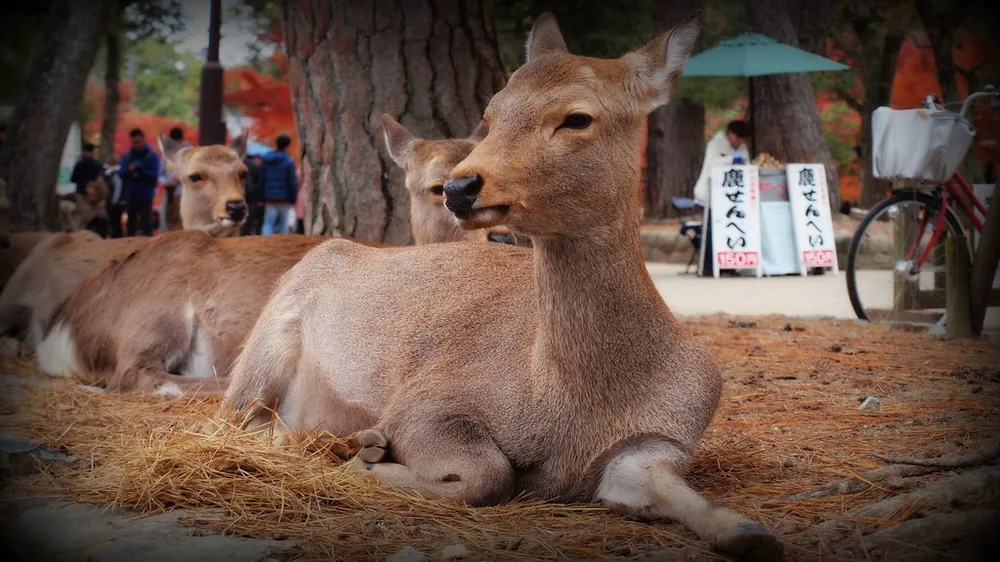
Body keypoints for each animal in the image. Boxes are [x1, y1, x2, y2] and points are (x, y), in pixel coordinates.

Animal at [214, 12, 781, 561]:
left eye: (578, 117)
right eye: (492, 114)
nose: (461, 187)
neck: (574, 405)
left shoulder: (659, 441)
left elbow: (677, 494)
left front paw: (749, 531)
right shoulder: (426, 399)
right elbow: (490, 475)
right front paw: (367, 462)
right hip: (259, 353)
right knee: (233, 421)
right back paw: (344, 443)